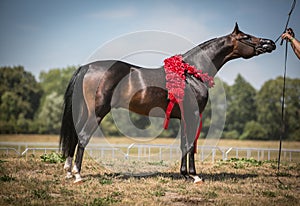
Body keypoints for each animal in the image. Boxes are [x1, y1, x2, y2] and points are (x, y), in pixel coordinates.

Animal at [59, 23, 276, 183]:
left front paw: (185, 174)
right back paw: (77, 174)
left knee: (75, 136)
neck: (191, 73)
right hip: (96, 112)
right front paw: (195, 176)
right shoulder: (193, 115)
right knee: (83, 137)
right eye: (246, 37)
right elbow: (190, 144)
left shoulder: (184, 117)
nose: (270, 43)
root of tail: (87, 67)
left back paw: (68, 171)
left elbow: (183, 144)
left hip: (83, 112)